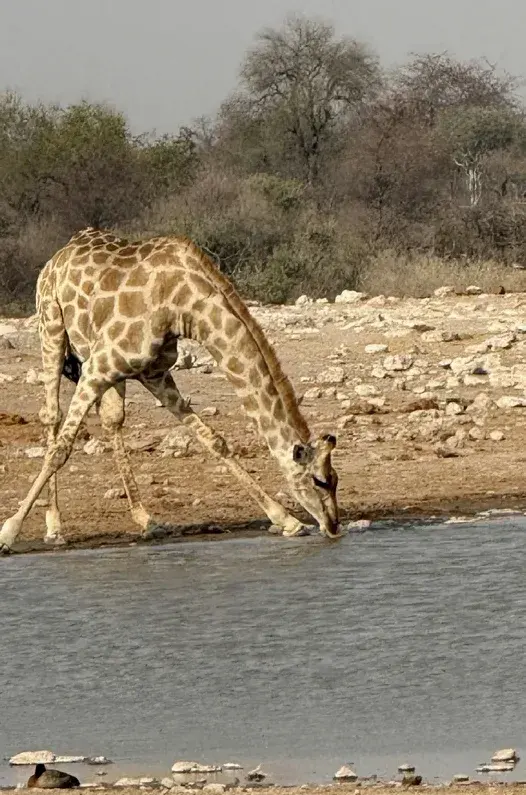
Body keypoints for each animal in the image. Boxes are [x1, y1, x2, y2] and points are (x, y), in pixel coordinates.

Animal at [0, 228, 341, 554]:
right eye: (320, 481)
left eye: (336, 479)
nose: (334, 526)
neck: (185, 306)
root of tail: (59, 255)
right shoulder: (98, 367)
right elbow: (61, 448)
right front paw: (9, 532)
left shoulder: (154, 373)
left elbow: (214, 441)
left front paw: (286, 519)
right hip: (52, 329)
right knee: (52, 416)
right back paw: (54, 527)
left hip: (101, 364)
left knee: (111, 419)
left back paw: (147, 520)